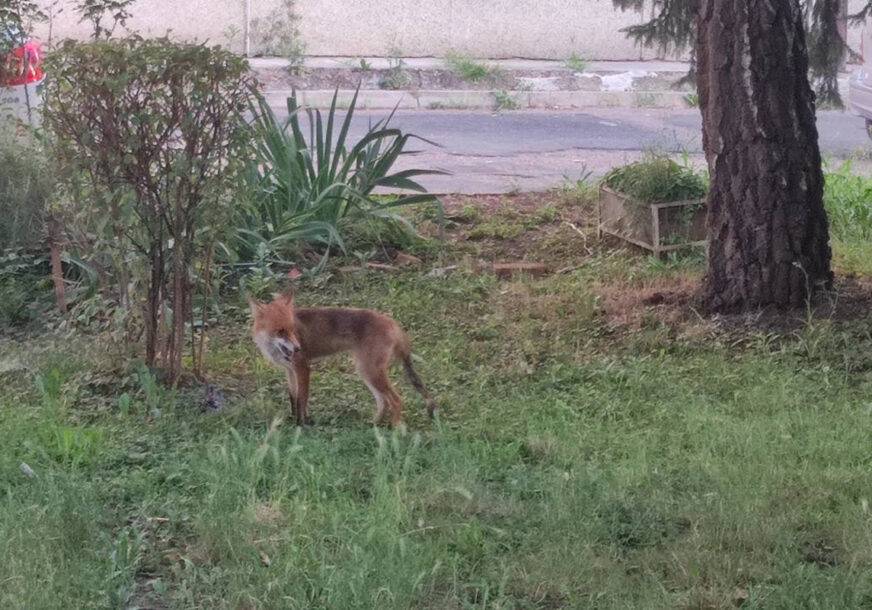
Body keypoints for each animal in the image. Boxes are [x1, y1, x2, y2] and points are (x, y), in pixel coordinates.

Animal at [249, 292, 436, 426]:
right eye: (280, 331)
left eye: (293, 329)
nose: (297, 349)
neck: (272, 347)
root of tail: (393, 322)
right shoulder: (289, 370)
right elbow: (293, 398)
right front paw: (293, 420)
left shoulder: (302, 368)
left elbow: (302, 400)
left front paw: (301, 425)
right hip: (366, 371)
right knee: (384, 401)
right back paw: (374, 424)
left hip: (369, 370)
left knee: (396, 400)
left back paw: (394, 430)